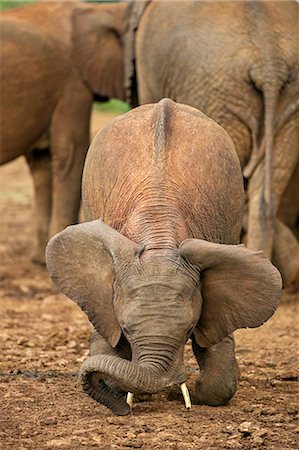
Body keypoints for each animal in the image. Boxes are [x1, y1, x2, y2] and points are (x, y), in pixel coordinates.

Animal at [45, 98, 282, 414]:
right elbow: (106, 340)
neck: (159, 237)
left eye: (189, 328)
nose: (124, 411)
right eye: (126, 329)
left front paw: (197, 393)